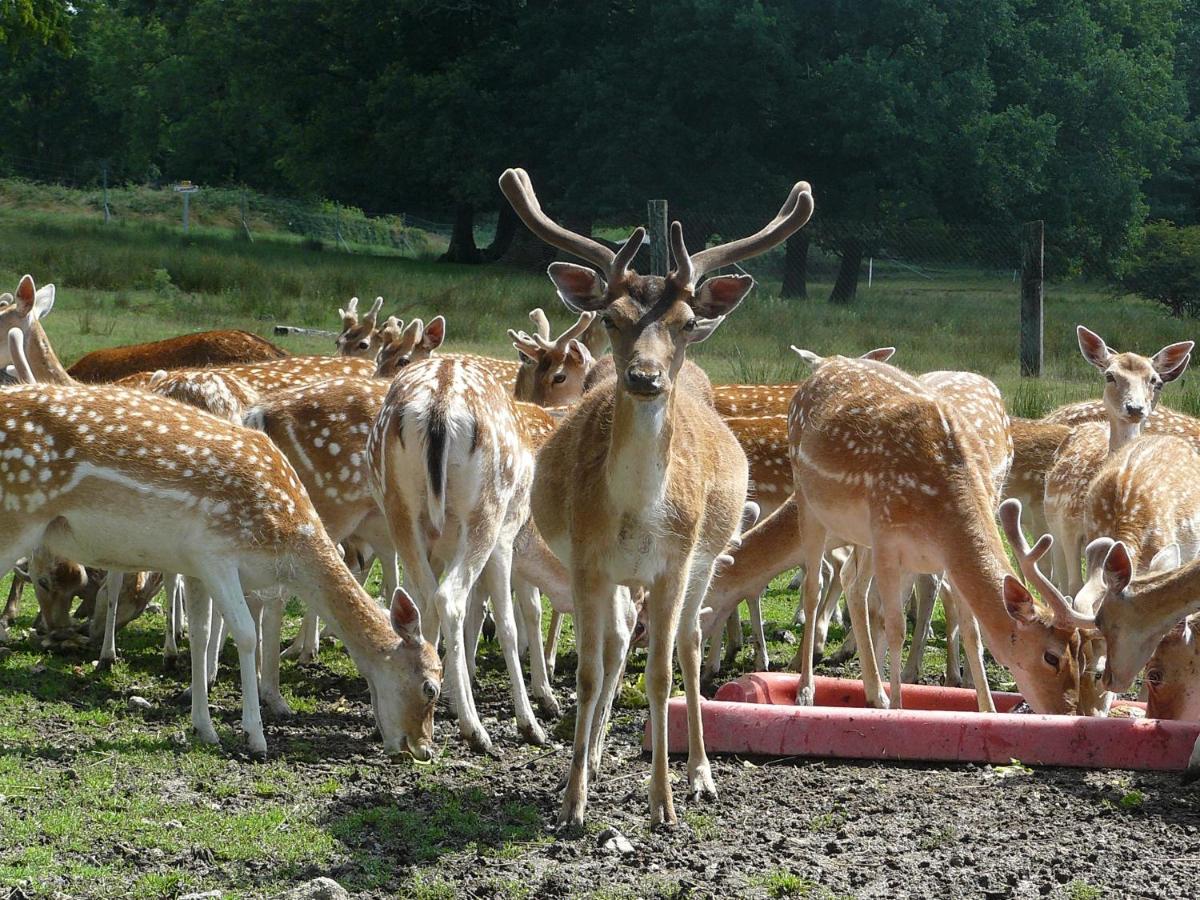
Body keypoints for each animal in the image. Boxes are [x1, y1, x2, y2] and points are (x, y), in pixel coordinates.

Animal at [496, 165, 816, 830]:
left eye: (686, 323)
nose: (645, 377)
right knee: (618, 645)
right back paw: (594, 758)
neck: (637, 515)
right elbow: (591, 672)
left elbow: (662, 672)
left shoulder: (674, 563)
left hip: (704, 558)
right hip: (623, 577)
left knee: (691, 647)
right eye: (611, 318)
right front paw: (572, 802)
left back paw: (701, 776)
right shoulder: (588, 560)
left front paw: (663, 804)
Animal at [1041, 328, 1190, 595]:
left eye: (1155, 380)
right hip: (1051, 522)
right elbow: (1074, 586)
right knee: (1059, 578)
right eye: (1110, 376)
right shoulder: (1069, 527)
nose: (1135, 408)